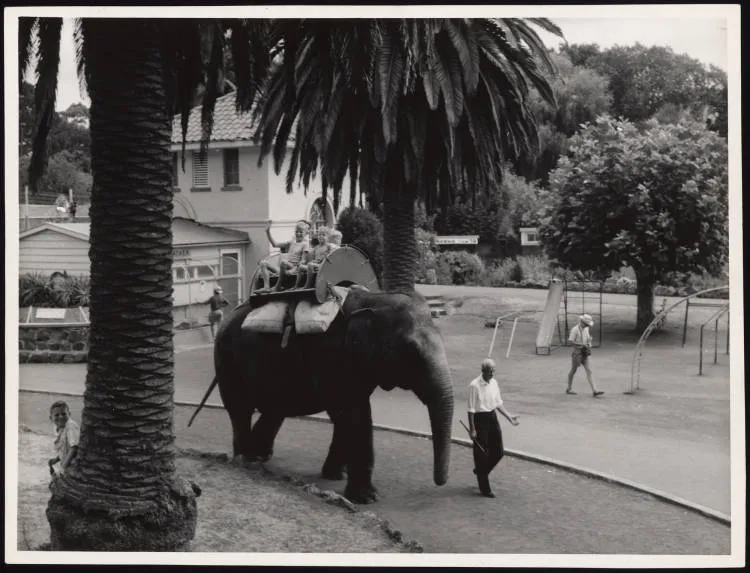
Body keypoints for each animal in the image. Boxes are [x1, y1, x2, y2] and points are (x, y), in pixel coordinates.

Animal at [208, 287, 455, 504]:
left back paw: (258, 457)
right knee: (240, 408)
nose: (440, 483)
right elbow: (353, 414)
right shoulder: (331, 357)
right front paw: (366, 498)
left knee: (276, 407)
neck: (374, 298)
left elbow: (345, 415)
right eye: (411, 351)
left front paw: (336, 476)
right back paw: (245, 461)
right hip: (225, 358)